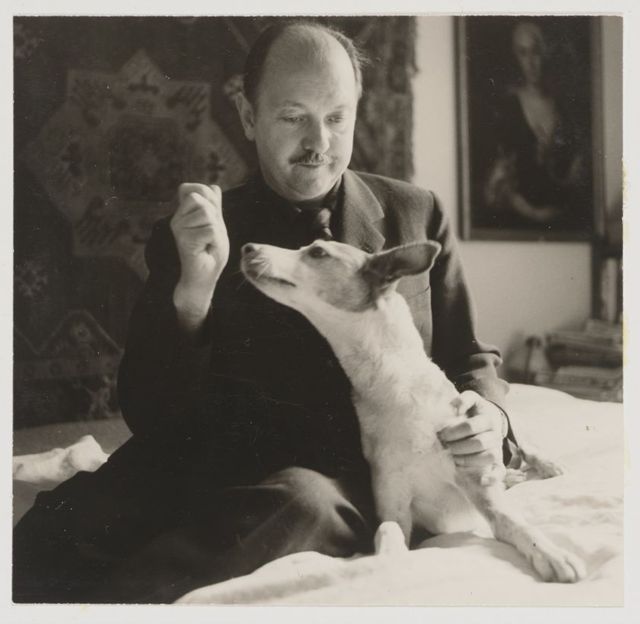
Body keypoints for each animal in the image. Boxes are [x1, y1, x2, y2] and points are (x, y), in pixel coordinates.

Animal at [240, 238, 586, 583]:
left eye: (317, 252)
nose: (247, 247)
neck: (393, 385)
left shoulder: (480, 487)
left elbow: (518, 525)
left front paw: (553, 555)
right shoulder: (395, 506)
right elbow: (388, 532)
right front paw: (386, 561)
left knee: (521, 440)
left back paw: (547, 465)